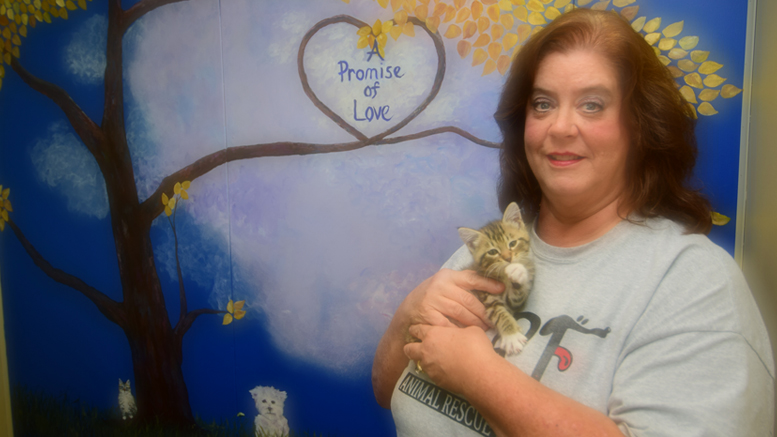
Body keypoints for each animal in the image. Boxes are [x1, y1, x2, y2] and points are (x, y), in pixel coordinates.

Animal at [458, 201, 532, 354]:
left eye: (512, 243)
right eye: (492, 252)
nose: (508, 258)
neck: (502, 275)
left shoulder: (514, 302)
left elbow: (517, 295)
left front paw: (517, 271)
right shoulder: (486, 296)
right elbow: (499, 313)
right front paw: (512, 336)